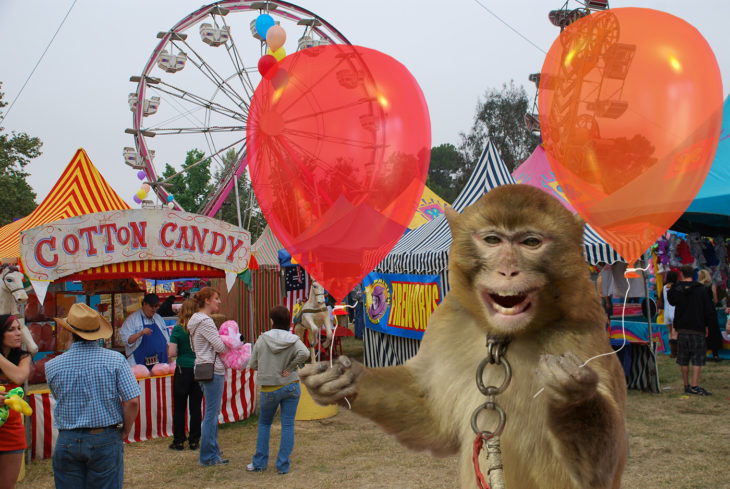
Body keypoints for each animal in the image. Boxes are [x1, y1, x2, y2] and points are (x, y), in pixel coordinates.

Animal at [298, 184, 624, 488]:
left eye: (531, 242)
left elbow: (599, 474)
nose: (508, 271)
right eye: (493, 240)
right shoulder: (449, 320)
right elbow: (432, 416)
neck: (508, 339)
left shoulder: (582, 335)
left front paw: (574, 396)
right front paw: (343, 379)